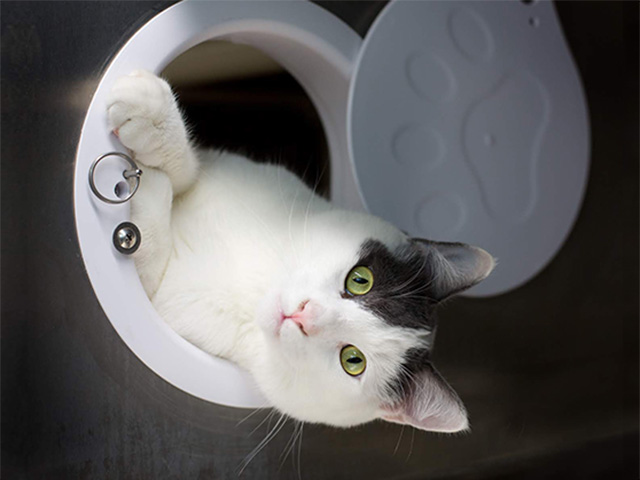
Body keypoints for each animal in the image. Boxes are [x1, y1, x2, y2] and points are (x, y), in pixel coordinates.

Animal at [106, 69, 496, 434]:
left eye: (353, 360)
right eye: (360, 280)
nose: (304, 314)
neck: (253, 286)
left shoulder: (169, 301)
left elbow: (150, 250)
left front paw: (138, 205)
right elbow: (188, 167)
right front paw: (148, 111)